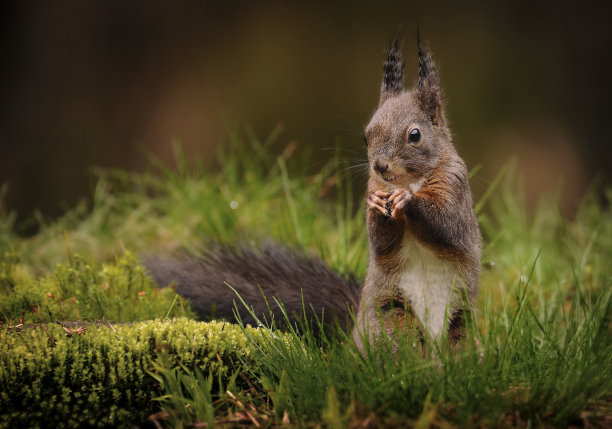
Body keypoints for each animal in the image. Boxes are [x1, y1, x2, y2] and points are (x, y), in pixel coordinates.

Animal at [143, 36, 478, 350]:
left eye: (414, 135)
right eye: (366, 135)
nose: (380, 166)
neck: (406, 181)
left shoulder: (455, 185)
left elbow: (448, 225)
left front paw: (409, 202)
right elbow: (381, 242)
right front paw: (376, 207)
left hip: (459, 326)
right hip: (392, 316)